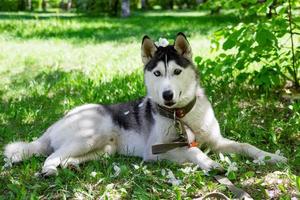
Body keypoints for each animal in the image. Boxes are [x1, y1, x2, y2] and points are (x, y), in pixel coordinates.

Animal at [4, 33, 286, 177]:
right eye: (158, 73)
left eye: (176, 71)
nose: (167, 95)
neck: (181, 115)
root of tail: (55, 124)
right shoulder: (157, 150)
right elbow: (194, 152)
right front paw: (209, 163)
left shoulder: (216, 141)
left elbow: (247, 146)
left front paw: (273, 157)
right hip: (91, 133)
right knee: (50, 155)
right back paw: (50, 169)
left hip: (104, 148)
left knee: (67, 155)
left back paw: (70, 164)